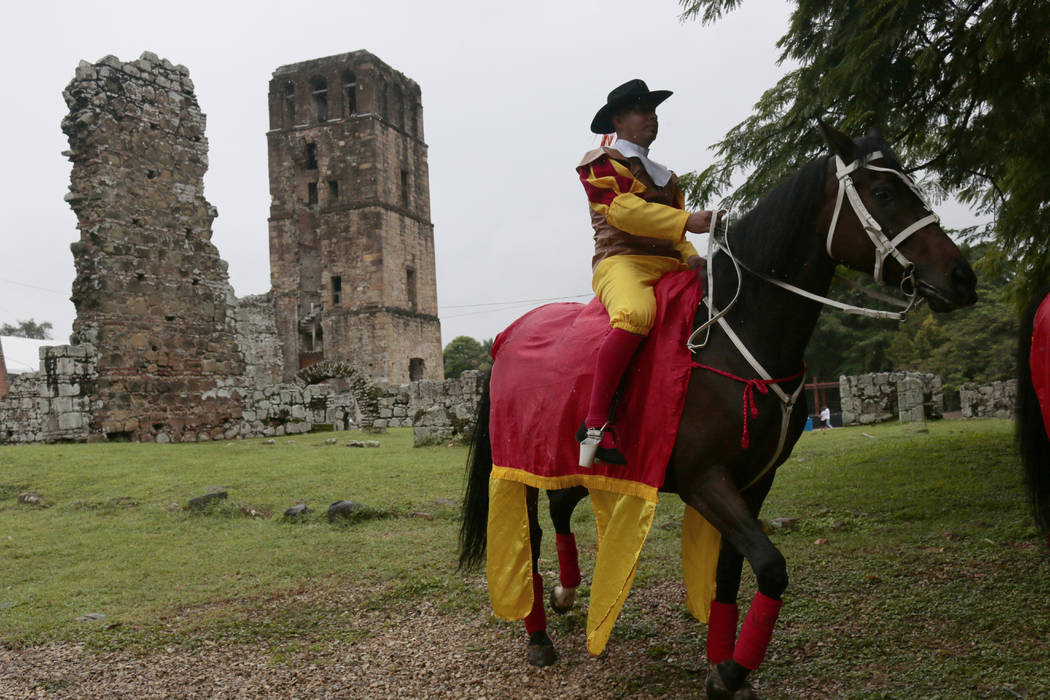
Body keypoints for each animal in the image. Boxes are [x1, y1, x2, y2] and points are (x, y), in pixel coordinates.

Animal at [459, 123, 974, 696]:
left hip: (565, 461)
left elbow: (732, 573)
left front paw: (724, 669)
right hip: (519, 466)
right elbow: (771, 566)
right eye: (883, 192)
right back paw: (538, 635)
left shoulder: (755, 481)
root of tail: (508, 336)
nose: (962, 278)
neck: (738, 335)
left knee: (560, 508)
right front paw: (731, 669)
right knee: (528, 533)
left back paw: (566, 594)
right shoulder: (705, 480)